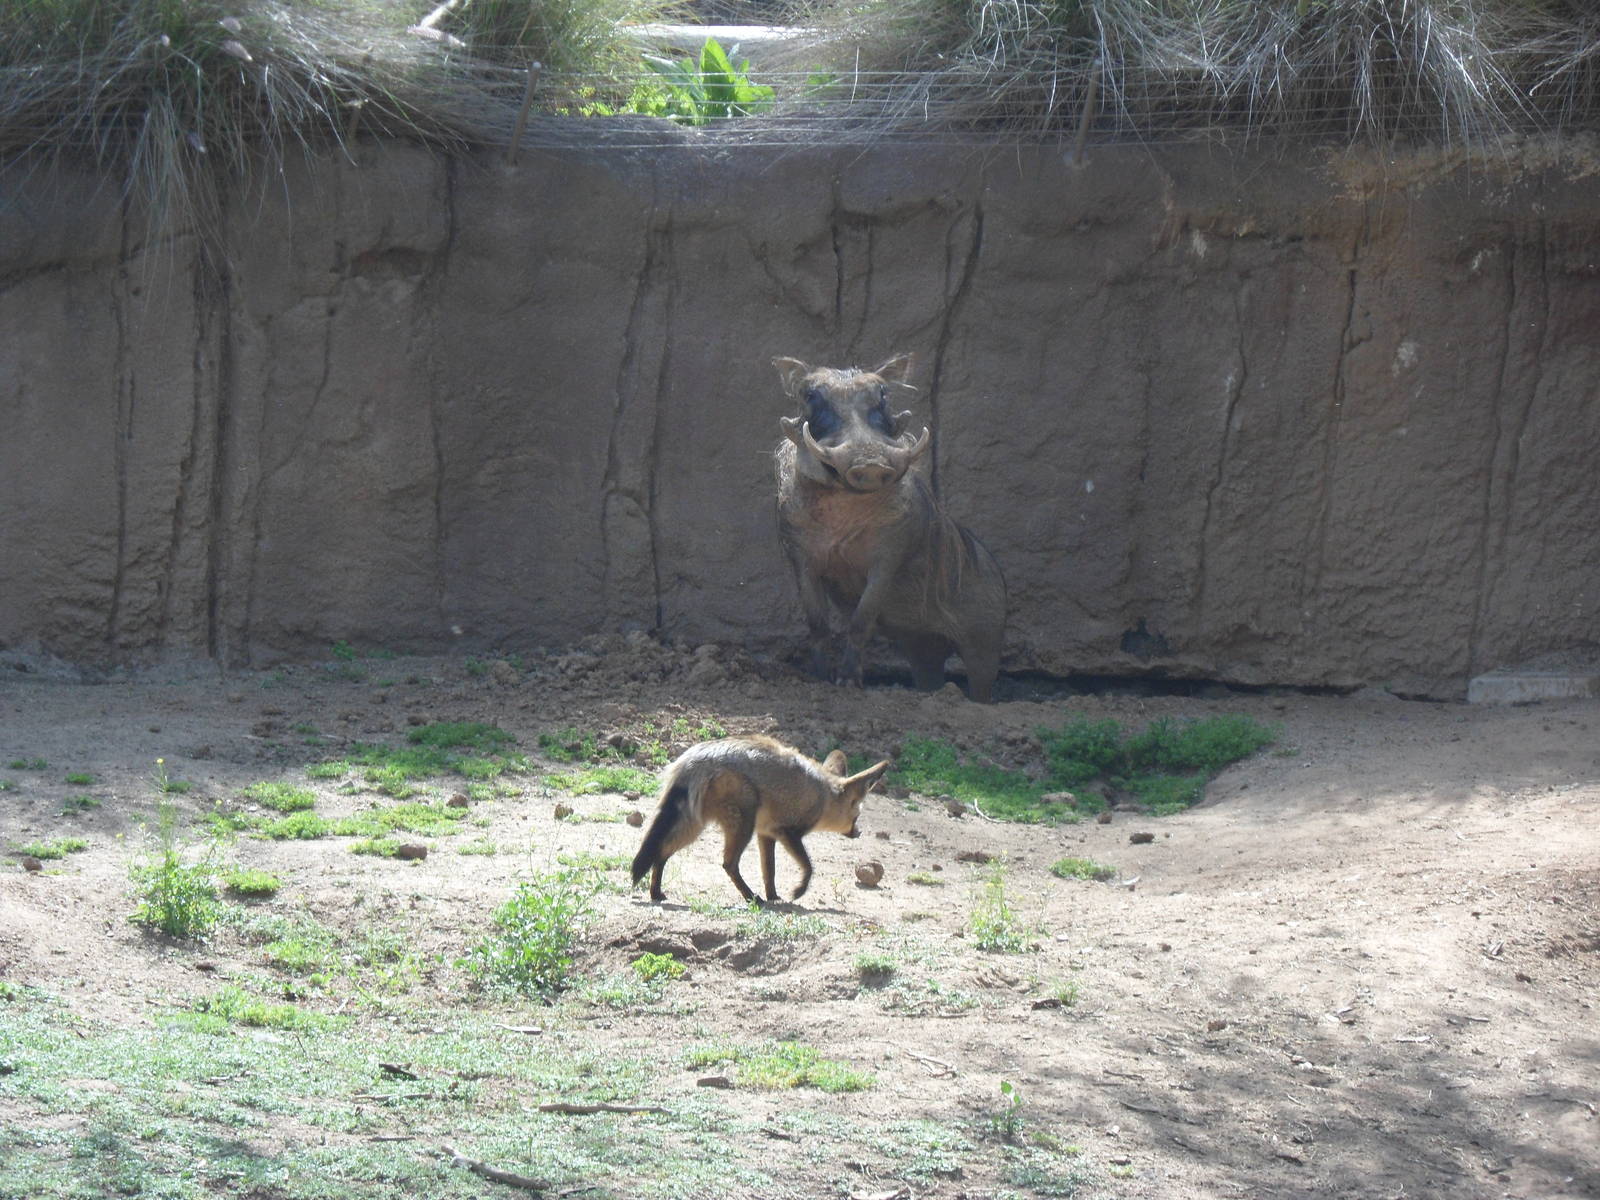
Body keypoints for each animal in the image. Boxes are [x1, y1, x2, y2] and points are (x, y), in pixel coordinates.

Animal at [630, 735, 892, 905]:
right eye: (857, 816)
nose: (858, 832)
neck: (823, 794)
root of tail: (695, 759)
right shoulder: (788, 832)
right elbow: (808, 867)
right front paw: (798, 891)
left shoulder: (766, 834)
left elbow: (770, 871)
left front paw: (773, 896)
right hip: (740, 825)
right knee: (728, 863)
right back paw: (751, 897)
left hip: (695, 825)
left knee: (661, 851)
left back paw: (656, 893)